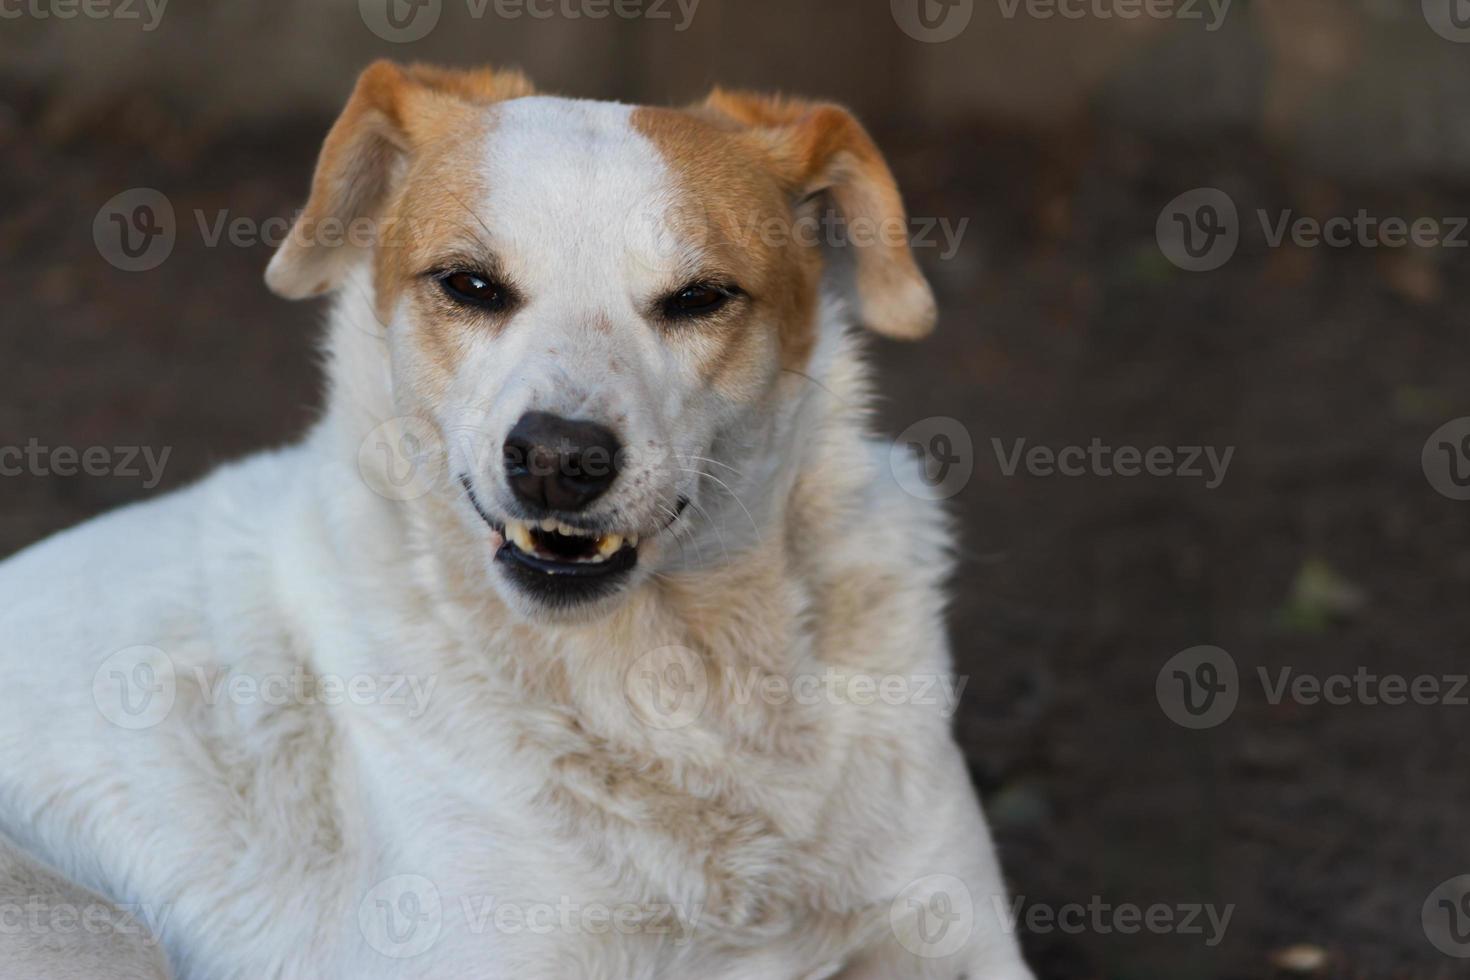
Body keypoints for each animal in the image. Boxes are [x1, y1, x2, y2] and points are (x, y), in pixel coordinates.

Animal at [0, 63, 1034, 980]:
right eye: (470, 285)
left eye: (700, 297)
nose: (558, 461)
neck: (681, 677)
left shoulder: (964, 938)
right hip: (98, 935)